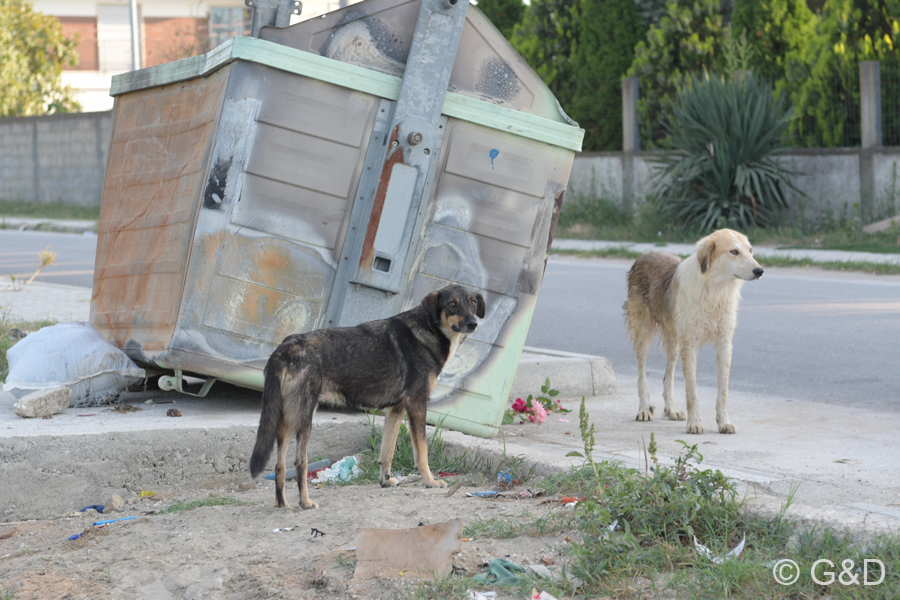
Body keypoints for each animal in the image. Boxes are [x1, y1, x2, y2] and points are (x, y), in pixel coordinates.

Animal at [624, 229, 764, 432]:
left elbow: (723, 391)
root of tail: (644, 255)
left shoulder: (724, 344)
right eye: (734, 252)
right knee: (641, 375)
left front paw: (724, 422)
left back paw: (672, 410)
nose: (760, 271)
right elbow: (692, 391)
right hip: (643, 335)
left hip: (674, 344)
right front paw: (695, 423)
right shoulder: (689, 345)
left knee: (668, 378)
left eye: (751, 250)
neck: (714, 291)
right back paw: (643, 409)